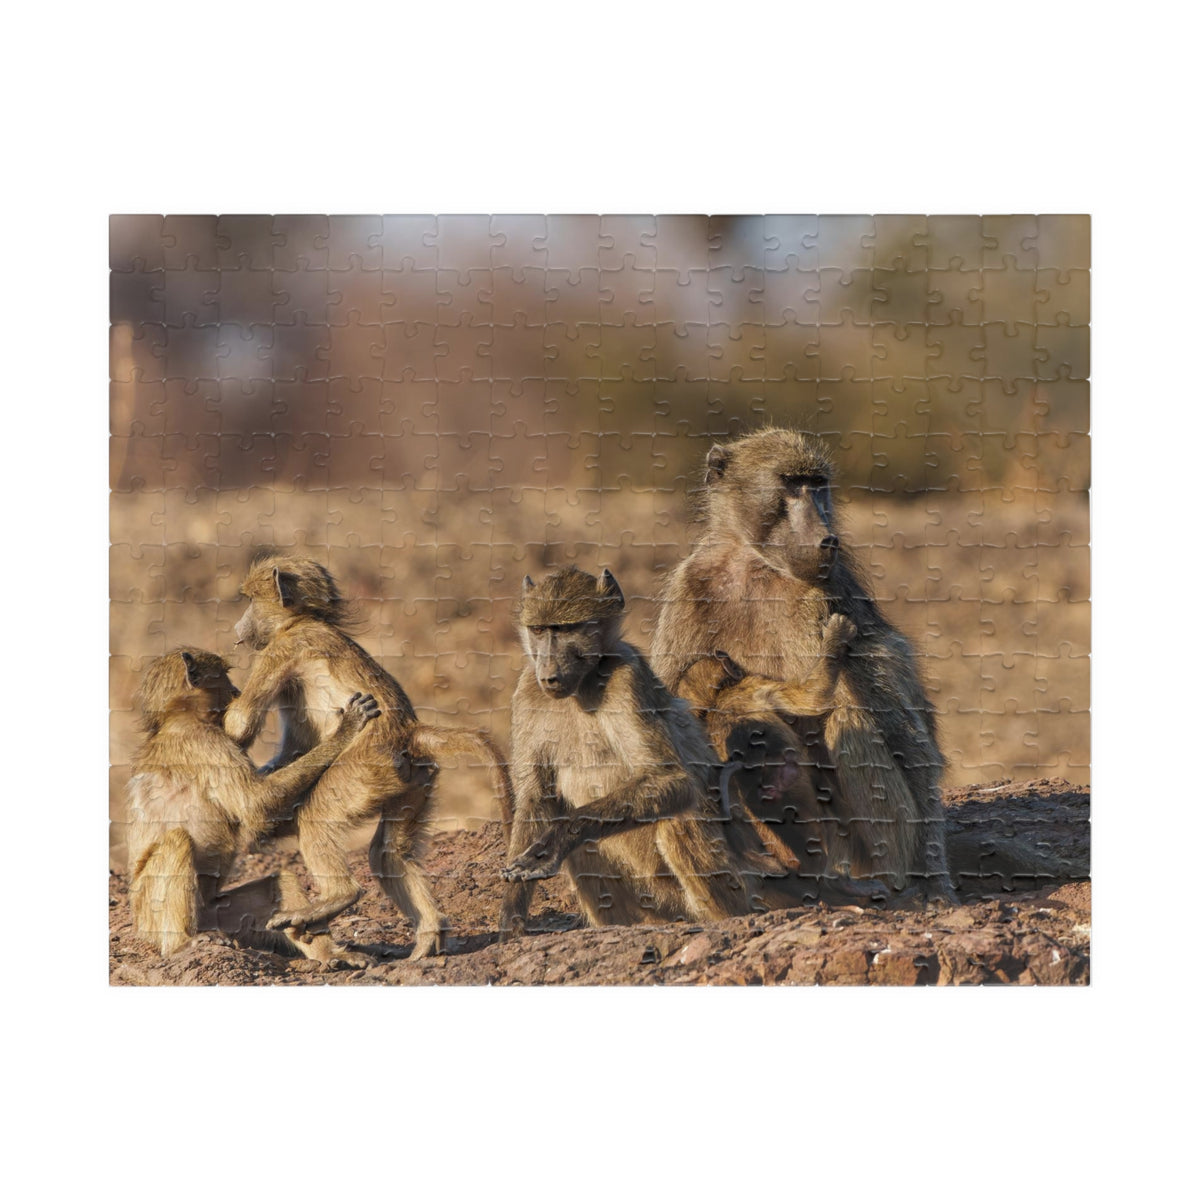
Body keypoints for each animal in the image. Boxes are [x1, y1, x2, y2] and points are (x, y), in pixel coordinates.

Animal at [126, 648, 380, 964]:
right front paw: (345, 730)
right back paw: (180, 944)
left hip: (214, 913)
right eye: (224, 676)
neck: (176, 719)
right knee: (177, 841)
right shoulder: (207, 742)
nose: (236, 691)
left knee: (279, 883)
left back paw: (327, 952)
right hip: (149, 914)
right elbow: (257, 805)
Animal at [224, 556, 515, 959]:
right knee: (388, 854)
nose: (237, 626)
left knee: (317, 816)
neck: (303, 620)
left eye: (251, 600)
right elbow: (295, 745)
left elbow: (239, 725)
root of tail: (410, 731)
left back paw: (337, 898)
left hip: (366, 769)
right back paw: (428, 938)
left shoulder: (282, 648)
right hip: (415, 780)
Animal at [499, 566, 787, 939]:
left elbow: (673, 779)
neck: (582, 687)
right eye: (539, 630)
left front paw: (554, 842)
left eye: (567, 629)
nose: (549, 672)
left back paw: (723, 919)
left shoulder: (627, 679)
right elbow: (536, 799)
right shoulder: (527, 693)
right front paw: (510, 921)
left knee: (678, 818)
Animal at [650, 427, 957, 903]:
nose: (826, 538)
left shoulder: (827, 601)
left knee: (851, 718)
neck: (754, 566)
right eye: (791, 484)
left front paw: (936, 878)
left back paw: (893, 885)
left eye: (818, 485)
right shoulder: (688, 590)